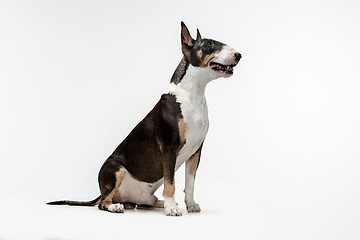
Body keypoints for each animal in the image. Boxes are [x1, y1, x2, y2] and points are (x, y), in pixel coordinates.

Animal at [46, 22, 240, 216]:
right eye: (209, 43)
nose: (238, 55)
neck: (192, 95)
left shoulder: (196, 151)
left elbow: (190, 182)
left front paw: (190, 205)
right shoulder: (169, 148)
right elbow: (170, 182)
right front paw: (171, 208)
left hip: (140, 194)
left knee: (142, 203)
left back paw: (156, 203)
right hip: (115, 169)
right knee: (103, 203)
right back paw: (118, 206)